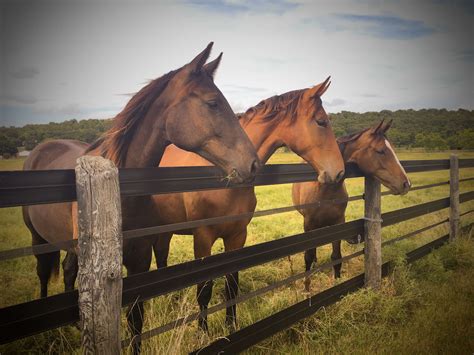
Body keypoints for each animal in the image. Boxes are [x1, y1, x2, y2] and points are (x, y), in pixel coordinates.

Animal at [22, 43, 260, 354]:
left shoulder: (140, 260)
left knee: (67, 269)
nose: (253, 164)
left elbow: (136, 318)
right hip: (38, 238)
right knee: (42, 273)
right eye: (212, 103)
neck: (121, 196)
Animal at [152, 77, 344, 330]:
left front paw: (231, 325)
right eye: (321, 122)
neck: (225, 176)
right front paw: (203, 331)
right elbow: (204, 289)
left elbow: (231, 285)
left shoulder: (237, 235)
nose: (340, 172)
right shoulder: (202, 238)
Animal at [290, 119, 410, 292]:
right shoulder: (308, 225)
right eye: (380, 151)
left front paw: (337, 283)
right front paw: (306, 288)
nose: (406, 183)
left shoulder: (338, 223)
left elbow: (336, 257)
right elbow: (308, 256)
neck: (325, 190)